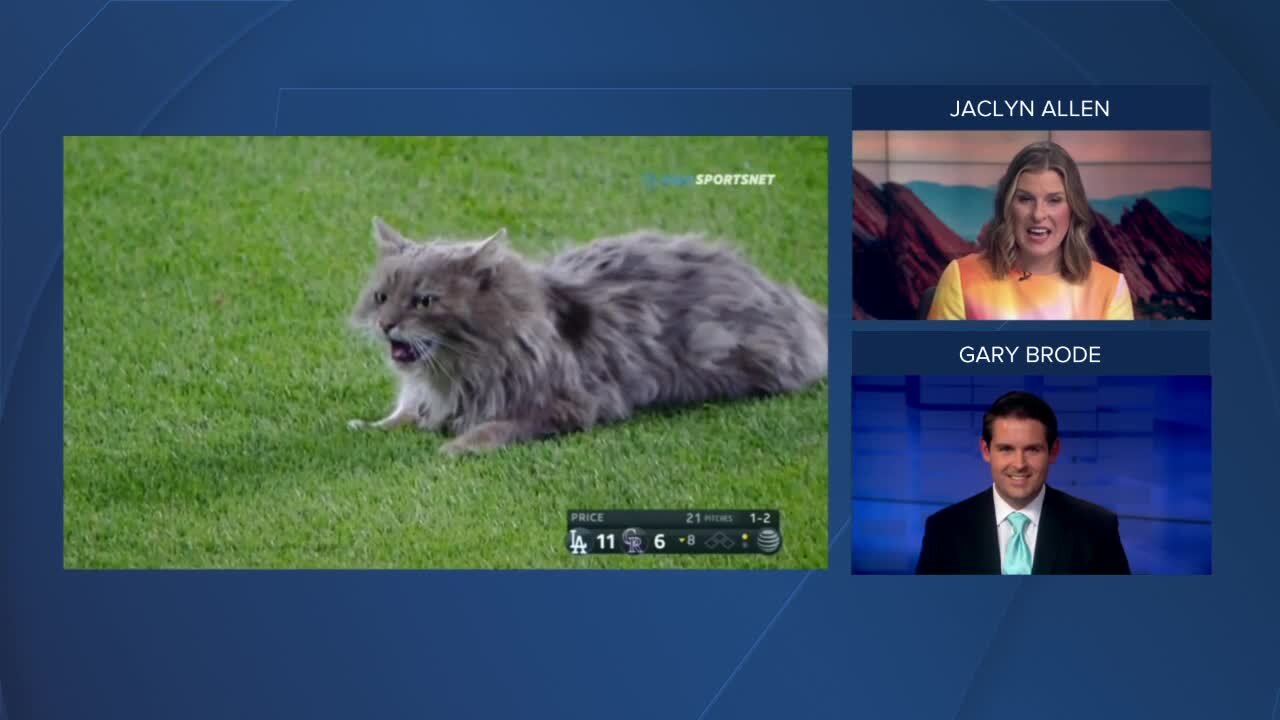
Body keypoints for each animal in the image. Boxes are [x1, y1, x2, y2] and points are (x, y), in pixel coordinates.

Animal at [348, 215, 829, 453]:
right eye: (381, 296)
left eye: (424, 301)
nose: (385, 324)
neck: (454, 373)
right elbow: (402, 416)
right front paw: (369, 426)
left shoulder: (571, 404)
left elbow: (496, 428)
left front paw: (456, 448)